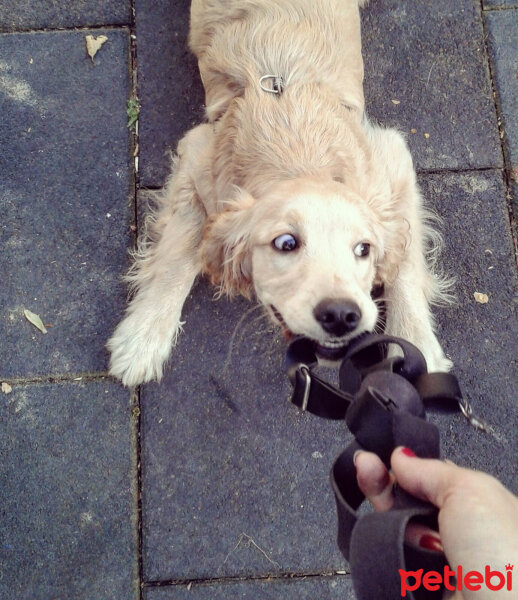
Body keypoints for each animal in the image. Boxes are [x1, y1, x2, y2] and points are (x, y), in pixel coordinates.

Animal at [106, 0, 456, 390]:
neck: (295, 147)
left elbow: (405, 266)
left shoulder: (392, 156)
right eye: (286, 243)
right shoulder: (197, 155)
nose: (341, 315)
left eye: (363, 249)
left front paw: (417, 346)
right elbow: (177, 255)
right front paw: (143, 337)